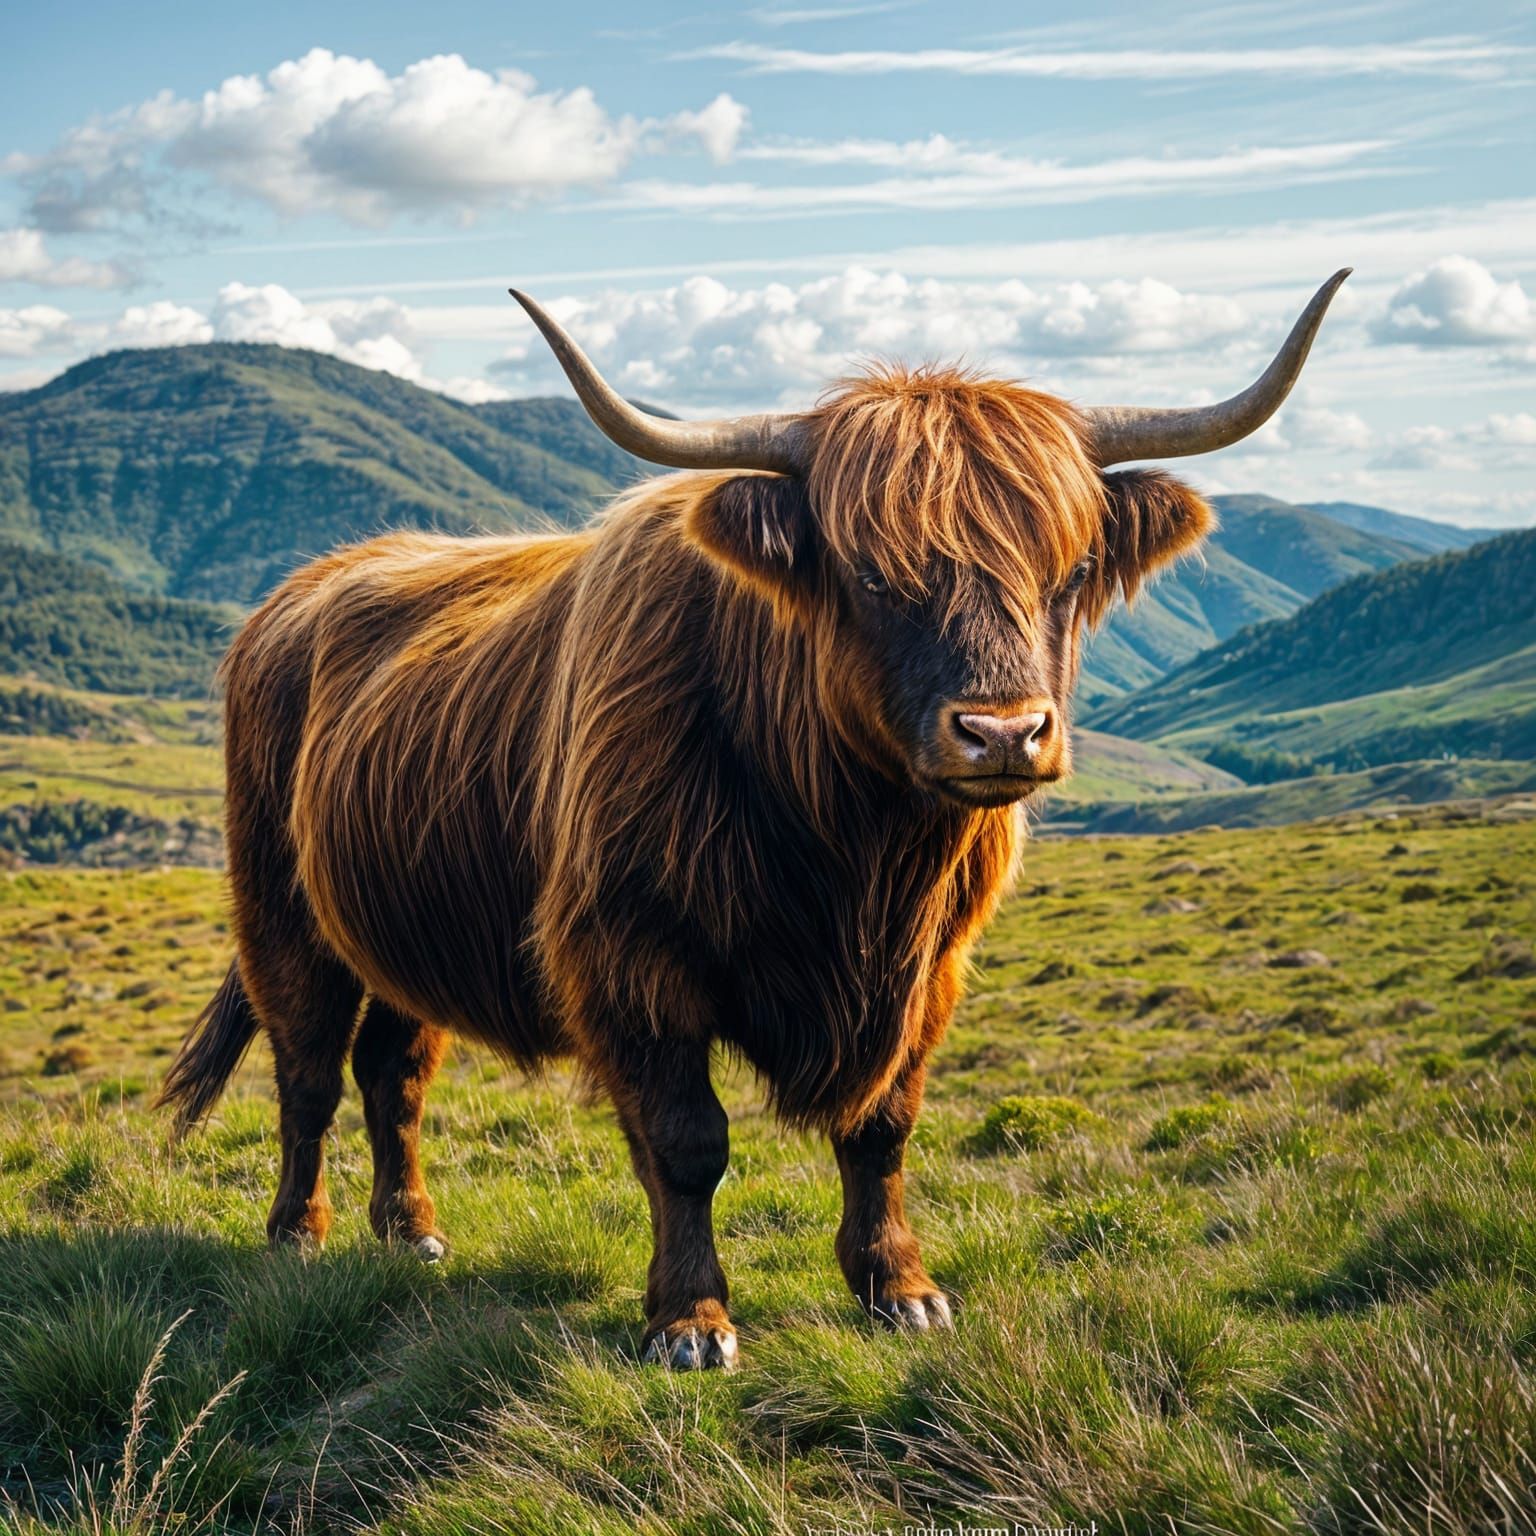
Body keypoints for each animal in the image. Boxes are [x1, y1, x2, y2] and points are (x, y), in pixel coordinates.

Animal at [160, 271, 1350, 1369]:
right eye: (873, 574)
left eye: (1074, 566)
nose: (1002, 733)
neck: (856, 852)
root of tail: (305, 589)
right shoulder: (633, 953)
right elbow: (689, 1141)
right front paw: (690, 1323)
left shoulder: (929, 967)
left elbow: (883, 1126)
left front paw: (899, 1288)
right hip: (284, 913)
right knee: (310, 1072)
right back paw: (299, 1236)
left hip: (413, 927)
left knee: (393, 1073)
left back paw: (410, 1232)